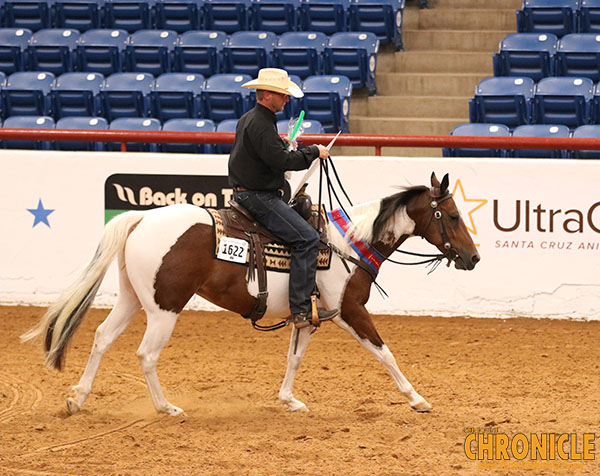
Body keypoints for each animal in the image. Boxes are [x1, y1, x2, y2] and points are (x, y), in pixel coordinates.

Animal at [23, 173, 480, 414]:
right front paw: (417, 398)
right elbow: (385, 353)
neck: (349, 242)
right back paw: (166, 407)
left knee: (101, 337)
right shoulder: (349, 309)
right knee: (146, 355)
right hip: (164, 309)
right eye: (453, 215)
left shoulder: (308, 316)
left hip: (133, 298)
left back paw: (78, 398)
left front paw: (289, 400)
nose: (473, 258)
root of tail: (140, 219)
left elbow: (295, 357)